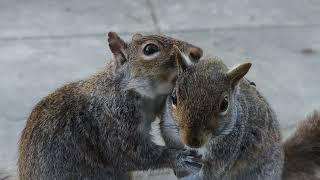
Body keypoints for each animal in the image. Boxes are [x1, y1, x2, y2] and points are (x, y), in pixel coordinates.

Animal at [160, 47, 320, 179]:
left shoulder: (227, 149)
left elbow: (211, 172)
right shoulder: (169, 129)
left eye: (225, 104)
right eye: (174, 97)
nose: (192, 141)